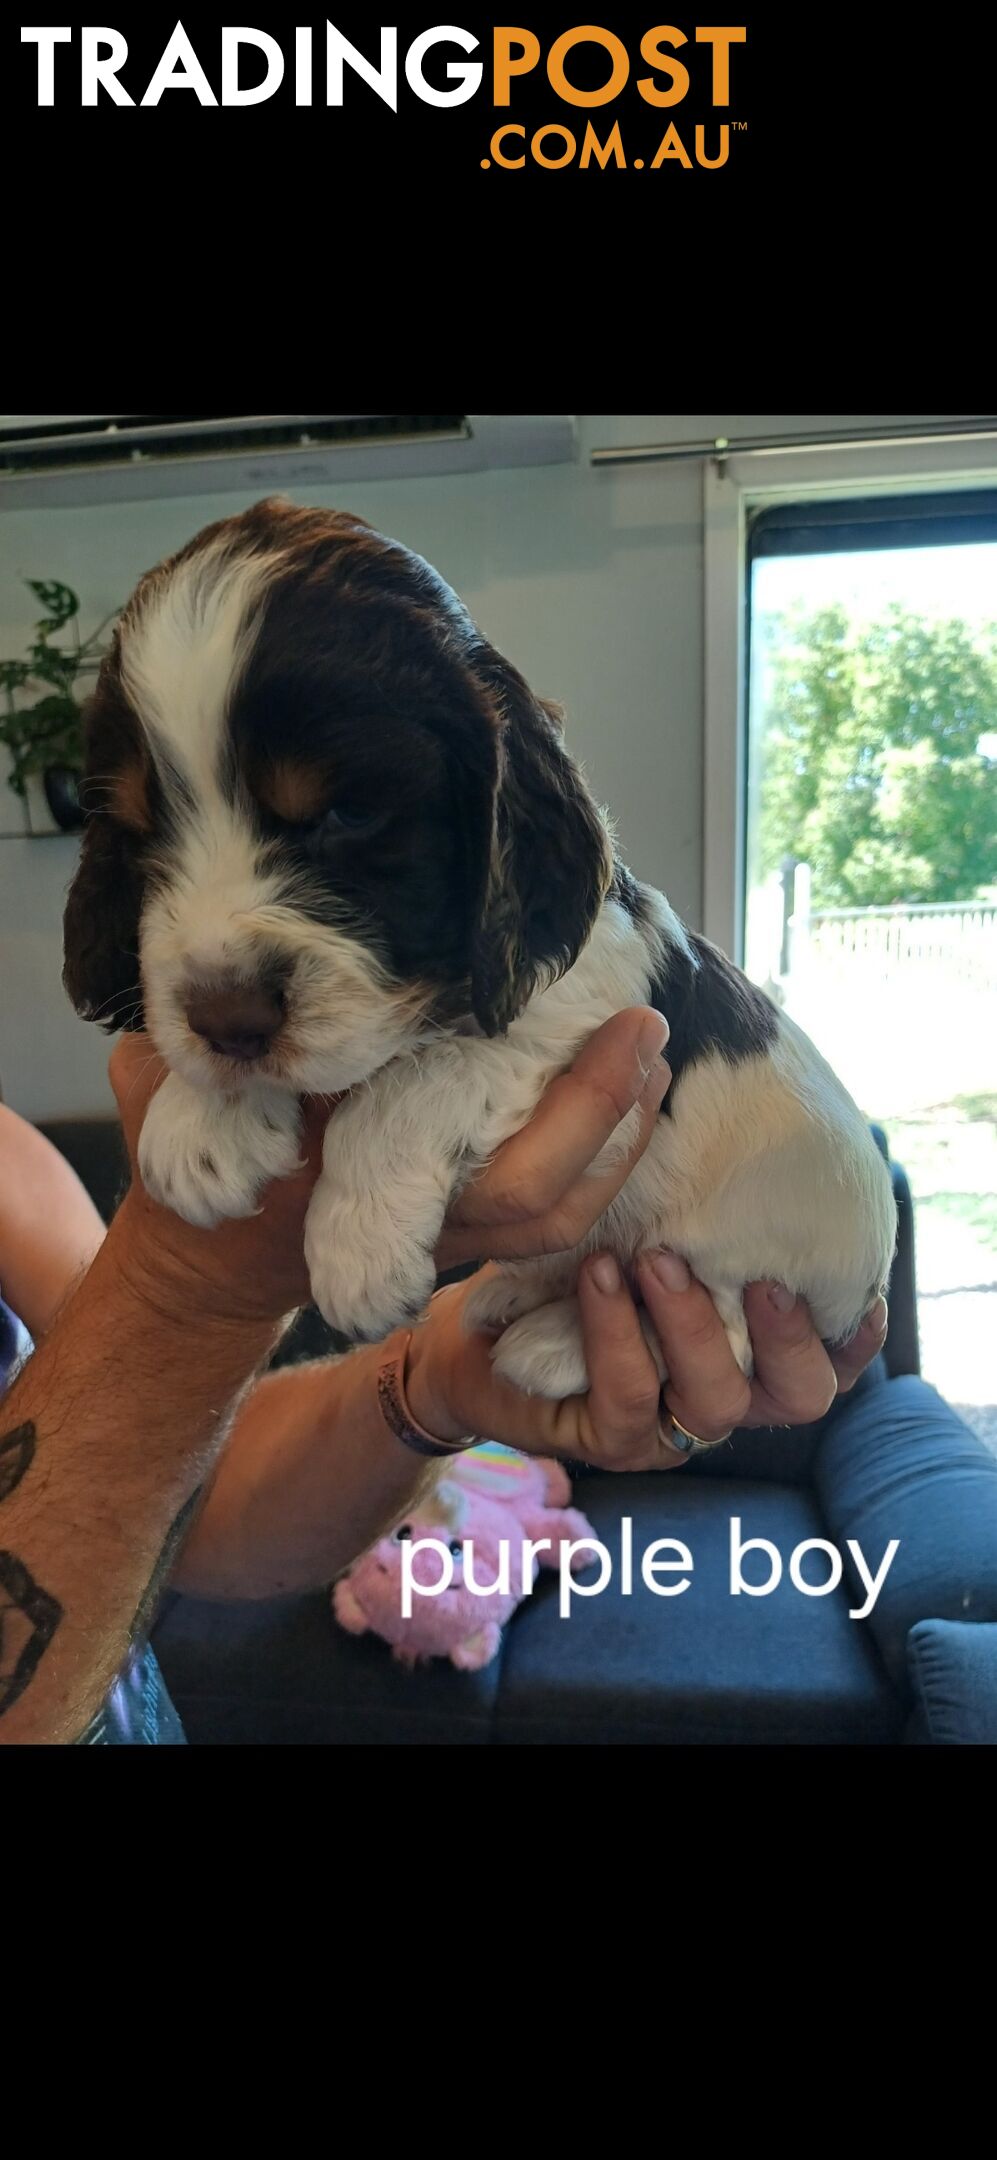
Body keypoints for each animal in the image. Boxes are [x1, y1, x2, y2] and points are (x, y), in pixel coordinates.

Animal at [62, 494, 897, 1391]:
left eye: (345, 815)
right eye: (139, 831)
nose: (229, 1023)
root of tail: (860, 1296)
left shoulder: (578, 1013)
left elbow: (414, 1078)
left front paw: (358, 1248)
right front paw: (197, 1126)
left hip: (746, 1250)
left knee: (723, 1323)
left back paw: (555, 1345)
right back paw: (513, 1291)